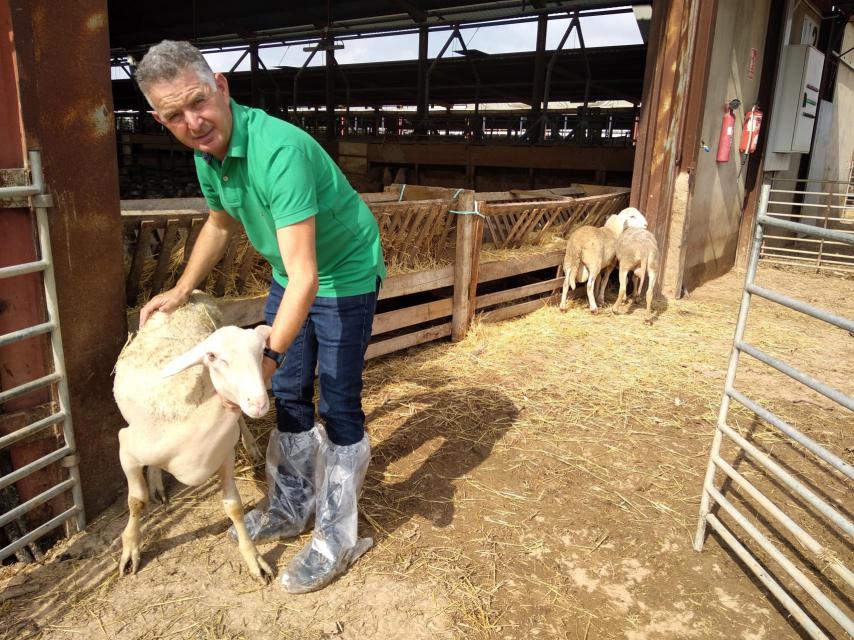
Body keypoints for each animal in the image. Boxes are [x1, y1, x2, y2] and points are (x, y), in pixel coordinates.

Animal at [113, 292, 274, 584]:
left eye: (260, 353)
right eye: (212, 356)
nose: (258, 403)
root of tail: (196, 293)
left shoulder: (224, 454)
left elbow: (234, 507)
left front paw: (254, 558)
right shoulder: (126, 449)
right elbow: (136, 501)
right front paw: (130, 547)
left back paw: (251, 445)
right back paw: (156, 482)